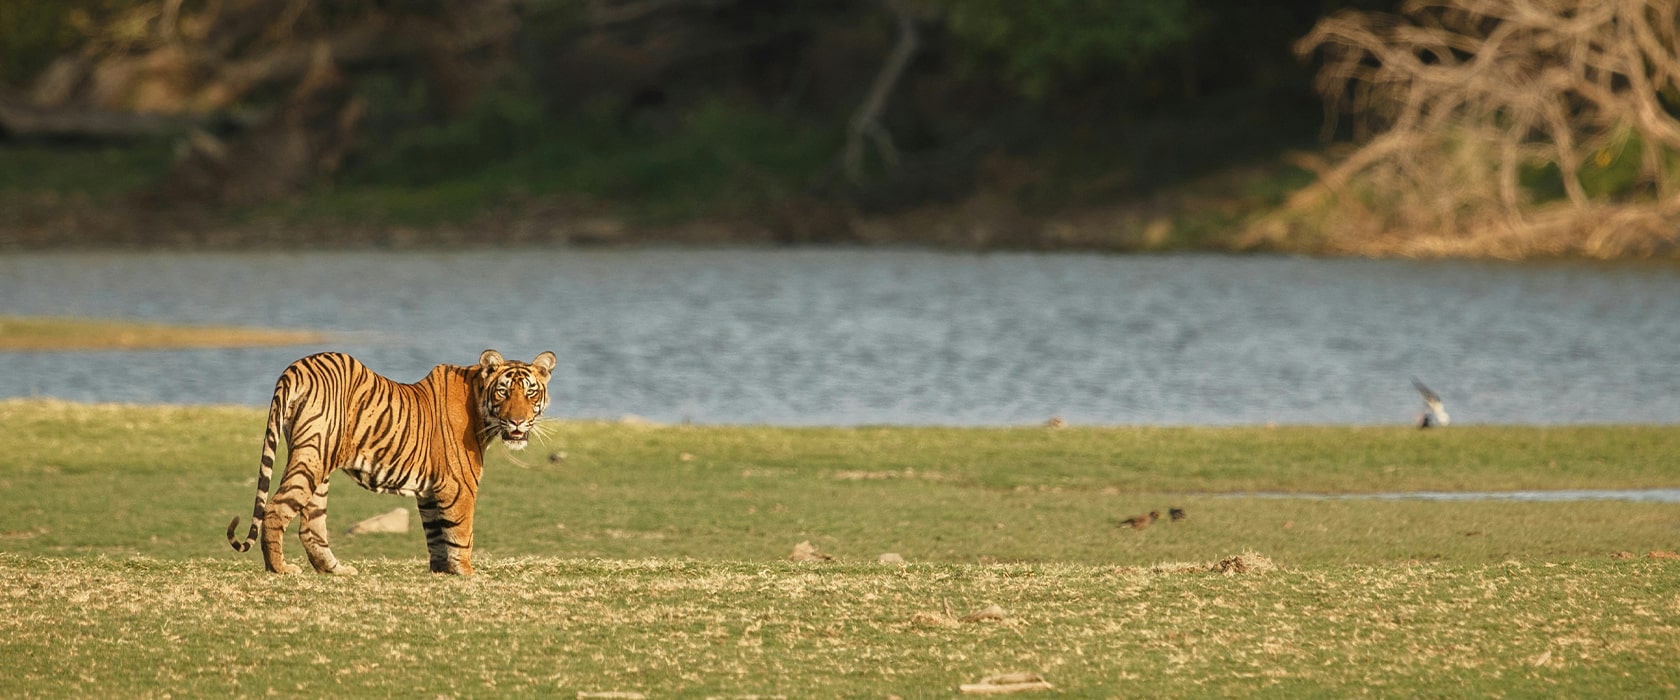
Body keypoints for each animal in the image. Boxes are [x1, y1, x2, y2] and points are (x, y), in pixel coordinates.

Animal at [226, 349, 557, 575]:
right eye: (503, 391)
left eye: (530, 392)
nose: (518, 422)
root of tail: (296, 367)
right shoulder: (459, 485)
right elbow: (461, 534)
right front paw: (467, 573)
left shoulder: (430, 492)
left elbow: (437, 535)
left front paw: (441, 572)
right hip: (313, 456)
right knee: (275, 508)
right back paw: (280, 568)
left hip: (318, 464)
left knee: (311, 526)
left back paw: (336, 570)